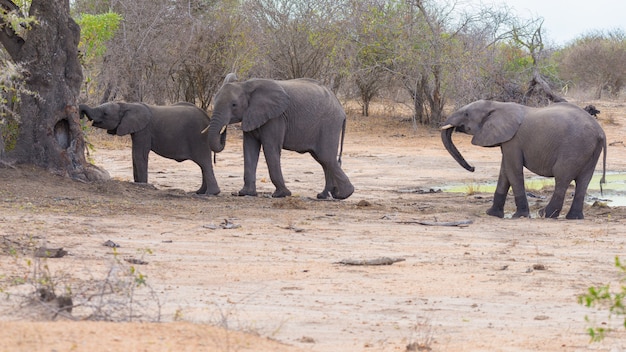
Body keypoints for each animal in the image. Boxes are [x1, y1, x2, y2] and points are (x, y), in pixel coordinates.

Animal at [78, 102, 219, 195]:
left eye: (105, 113)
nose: (80, 113)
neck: (128, 105)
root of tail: (207, 117)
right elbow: (134, 155)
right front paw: (138, 184)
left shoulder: (144, 130)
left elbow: (139, 154)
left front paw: (142, 185)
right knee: (203, 165)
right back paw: (200, 192)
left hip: (198, 138)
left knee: (204, 163)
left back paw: (210, 193)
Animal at [204, 73, 352, 201]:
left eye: (234, 105)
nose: (224, 130)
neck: (245, 85)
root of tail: (341, 110)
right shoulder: (251, 115)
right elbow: (249, 149)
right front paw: (245, 193)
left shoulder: (276, 118)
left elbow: (270, 149)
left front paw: (281, 194)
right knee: (323, 160)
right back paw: (323, 195)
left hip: (329, 124)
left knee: (326, 157)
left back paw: (343, 195)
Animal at [438, 99, 604, 220]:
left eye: (466, 114)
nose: (473, 168)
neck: (497, 105)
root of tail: (601, 132)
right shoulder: (507, 141)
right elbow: (505, 172)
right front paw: (492, 214)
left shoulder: (513, 141)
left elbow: (513, 171)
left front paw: (519, 216)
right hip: (589, 151)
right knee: (583, 181)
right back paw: (574, 218)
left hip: (574, 147)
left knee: (562, 177)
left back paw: (545, 214)